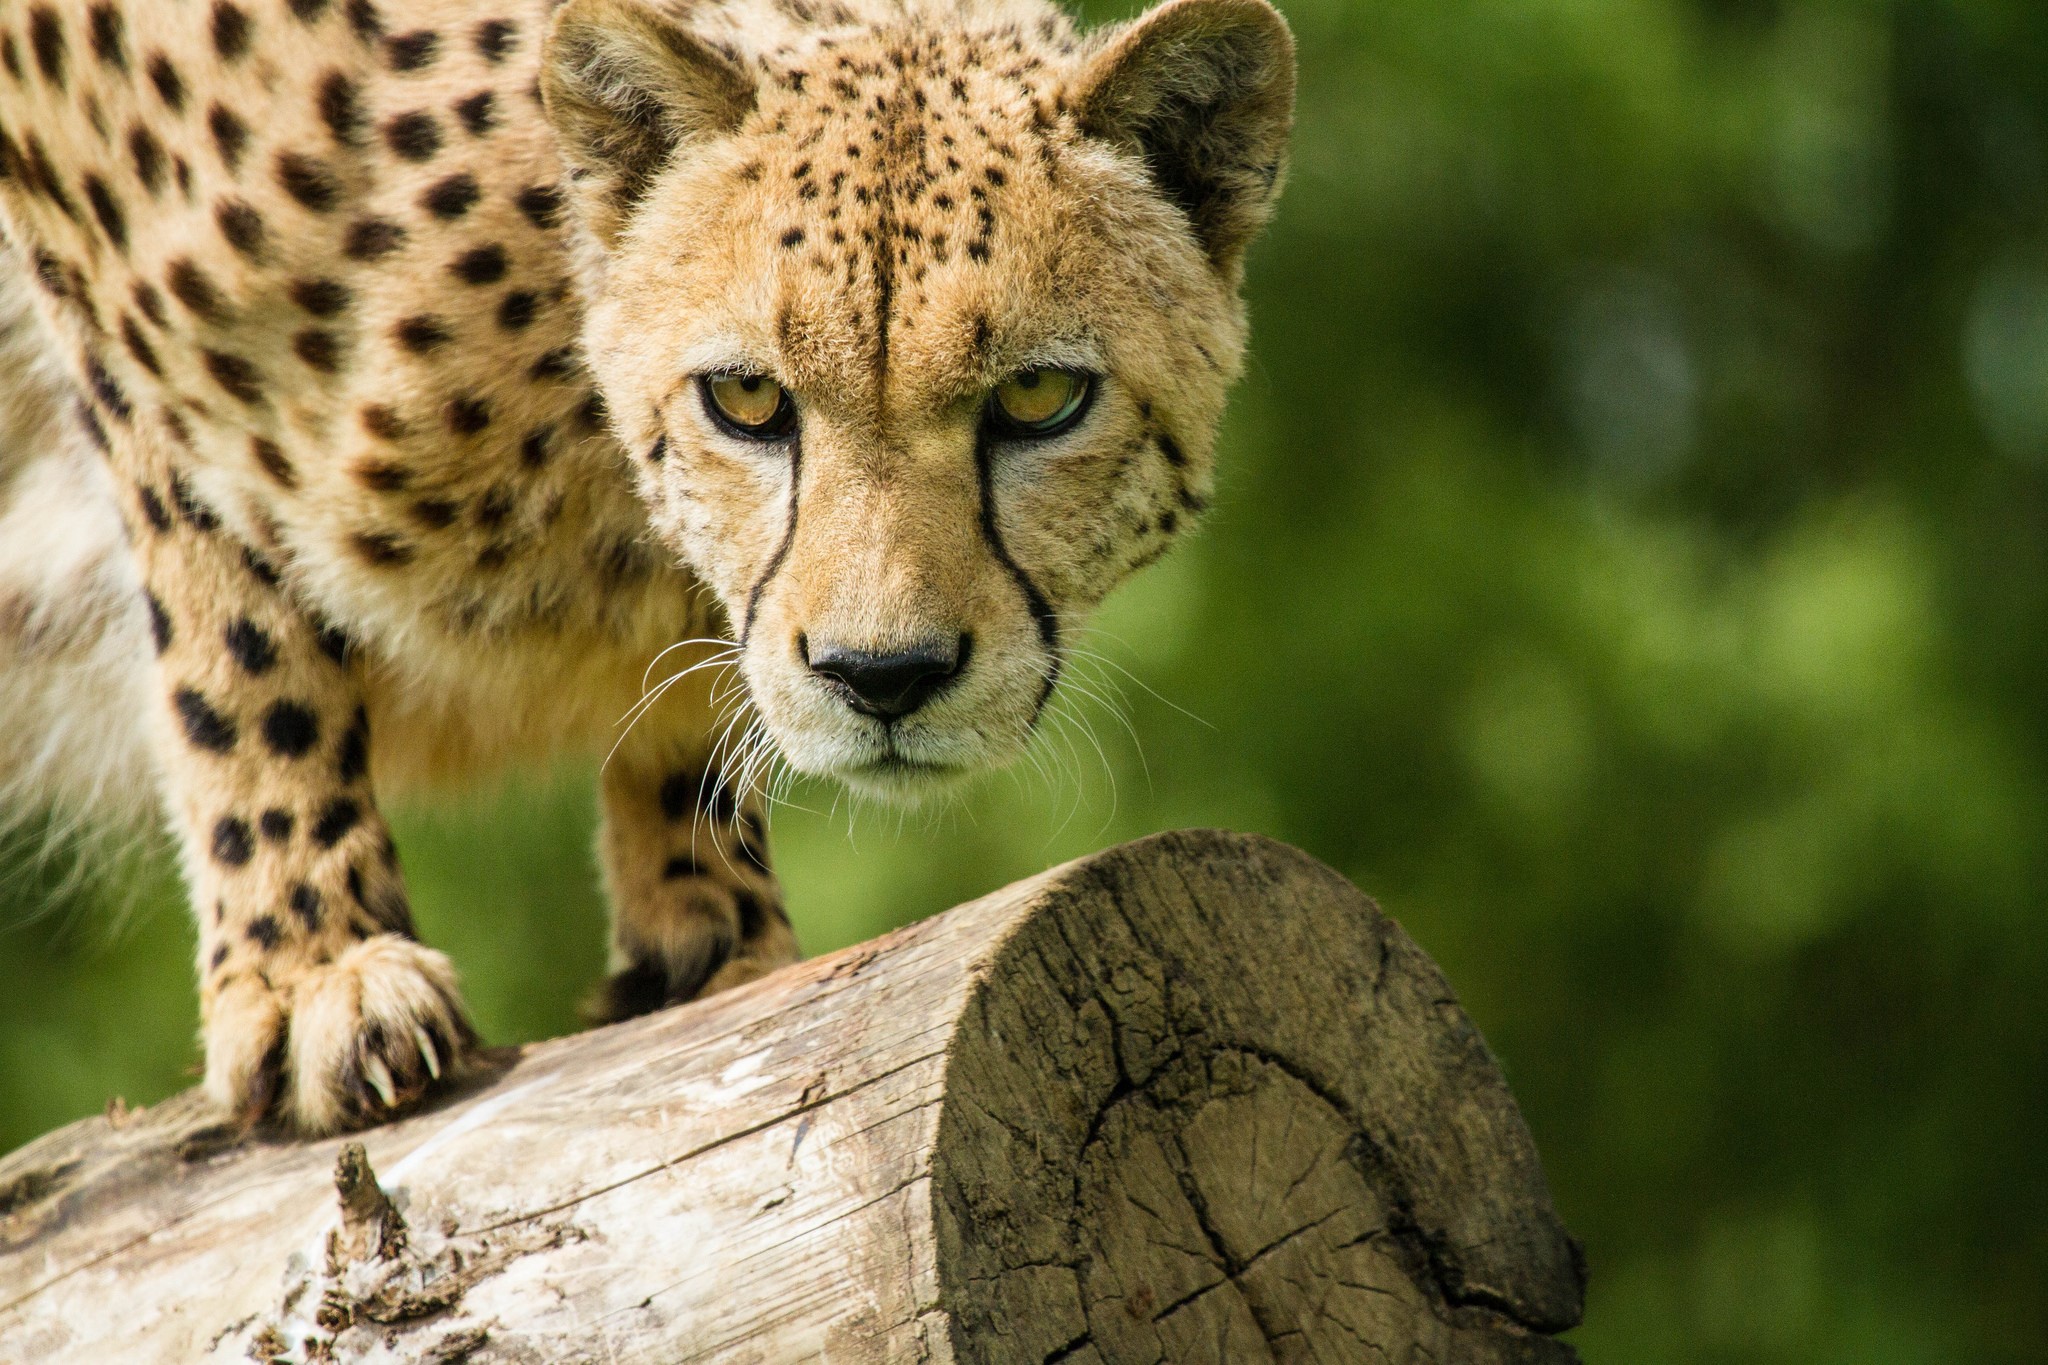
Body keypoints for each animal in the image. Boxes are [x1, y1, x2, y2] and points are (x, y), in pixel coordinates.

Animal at [0, 0, 1294, 1135]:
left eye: (1037, 397)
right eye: (747, 397)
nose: (883, 677)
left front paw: (711, 937)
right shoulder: (103, 300)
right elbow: (235, 640)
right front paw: (313, 967)